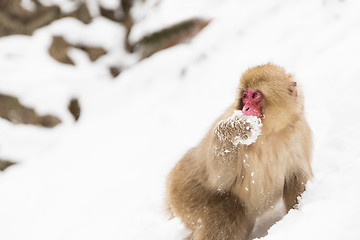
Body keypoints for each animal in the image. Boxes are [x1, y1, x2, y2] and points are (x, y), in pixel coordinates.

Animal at [166, 63, 312, 240]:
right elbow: (218, 180)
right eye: (244, 96)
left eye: (255, 95)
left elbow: (296, 179)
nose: (246, 107)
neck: (269, 134)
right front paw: (232, 129)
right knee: (226, 217)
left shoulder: (300, 134)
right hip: (185, 192)